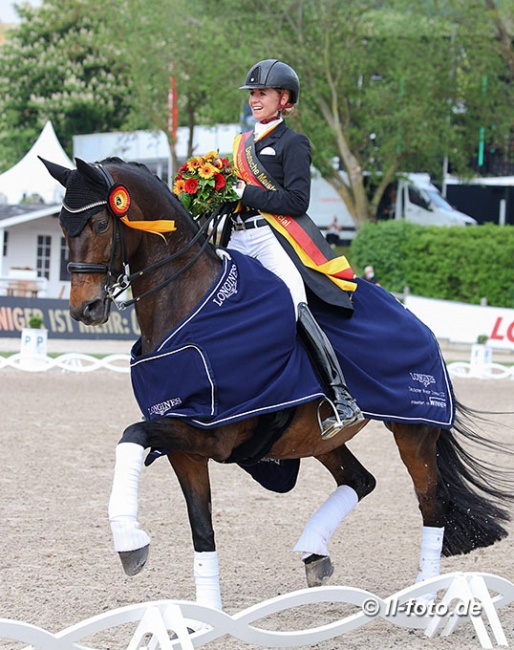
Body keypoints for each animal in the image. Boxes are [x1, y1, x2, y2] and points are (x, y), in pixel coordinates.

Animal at [40, 156, 512, 608]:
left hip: (414, 428)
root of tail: (414, 316)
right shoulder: (184, 444)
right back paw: (315, 552)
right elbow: (200, 527)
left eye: (101, 223)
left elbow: (132, 434)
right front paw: (206, 611)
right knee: (361, 481)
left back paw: (424, 595)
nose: (85, 308)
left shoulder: (209, 433)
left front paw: (129, 541)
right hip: (316, 437)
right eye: (62, 227)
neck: (189, 307)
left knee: (432, 503)